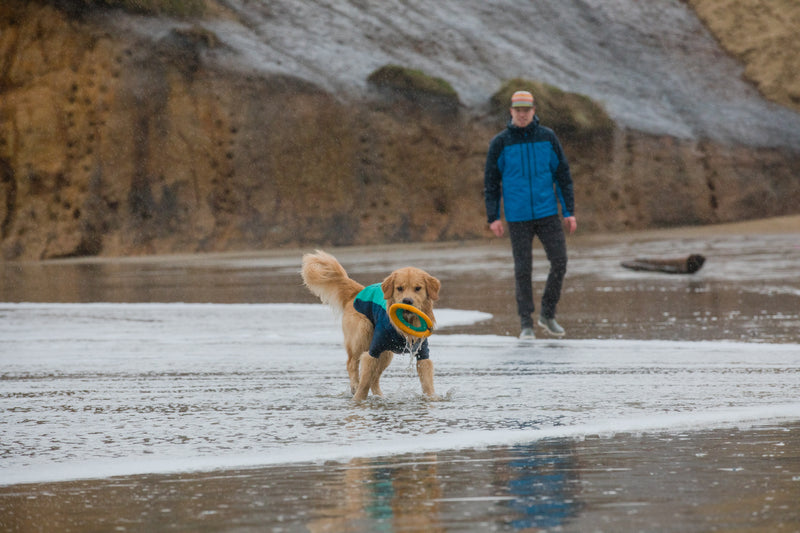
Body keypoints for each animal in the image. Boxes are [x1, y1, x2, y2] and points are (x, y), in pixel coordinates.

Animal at [300, 249, 440, 400]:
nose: (407, 301)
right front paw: (358, 398)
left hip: (386, 354)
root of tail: (356, 292)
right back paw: (355, 385)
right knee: (352, 363)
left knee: (375, 378)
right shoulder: (373, 351)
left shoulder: (422, 352)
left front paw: (432, 398)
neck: (407, 323)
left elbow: (427, 382)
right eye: (399, 288)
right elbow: (365, 381)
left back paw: (380, 396)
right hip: (362, 333)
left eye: (418, 288)